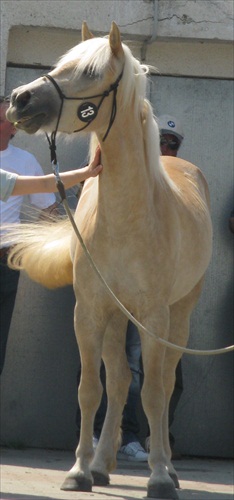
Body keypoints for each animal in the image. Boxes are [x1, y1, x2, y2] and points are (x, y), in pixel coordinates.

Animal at [6, 21, 212, 498]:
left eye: (88, 72)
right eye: (62, 62)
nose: (20, 98)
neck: (127, 216)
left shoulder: (154, 317)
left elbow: (152, 393)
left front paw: (159, 477)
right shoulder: (90, 311)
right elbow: (91, 390)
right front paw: (80, 470)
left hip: (178, 314)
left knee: (162, 383)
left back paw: (168, 467)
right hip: (120, 317)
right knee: (118, 383)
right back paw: (102, 464)